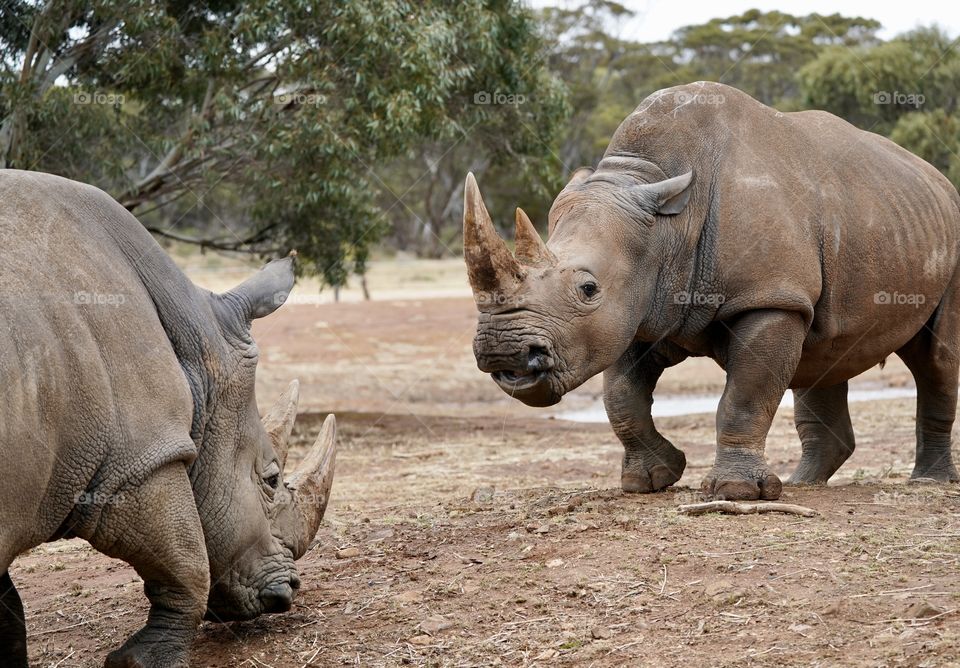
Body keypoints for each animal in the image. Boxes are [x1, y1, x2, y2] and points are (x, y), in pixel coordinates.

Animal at [0, 171, 338, 668]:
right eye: (272, 479)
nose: (288, 594)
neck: (199, 348)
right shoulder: (138, 464)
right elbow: (187, 561)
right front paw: (142, 660)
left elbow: (7, 610)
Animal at [464, 82, 960, 500]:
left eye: (588, 289)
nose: (503, 353)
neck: (665, 221)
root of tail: (936, 178)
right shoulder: (638, 306)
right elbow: (620, 397)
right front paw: (651, 480)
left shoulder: (768, 298)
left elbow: (744, 397)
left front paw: (736, 492)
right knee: (822, 353)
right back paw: (805, 483)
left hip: (944, 226)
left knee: (935, 358)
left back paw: (929, 483)